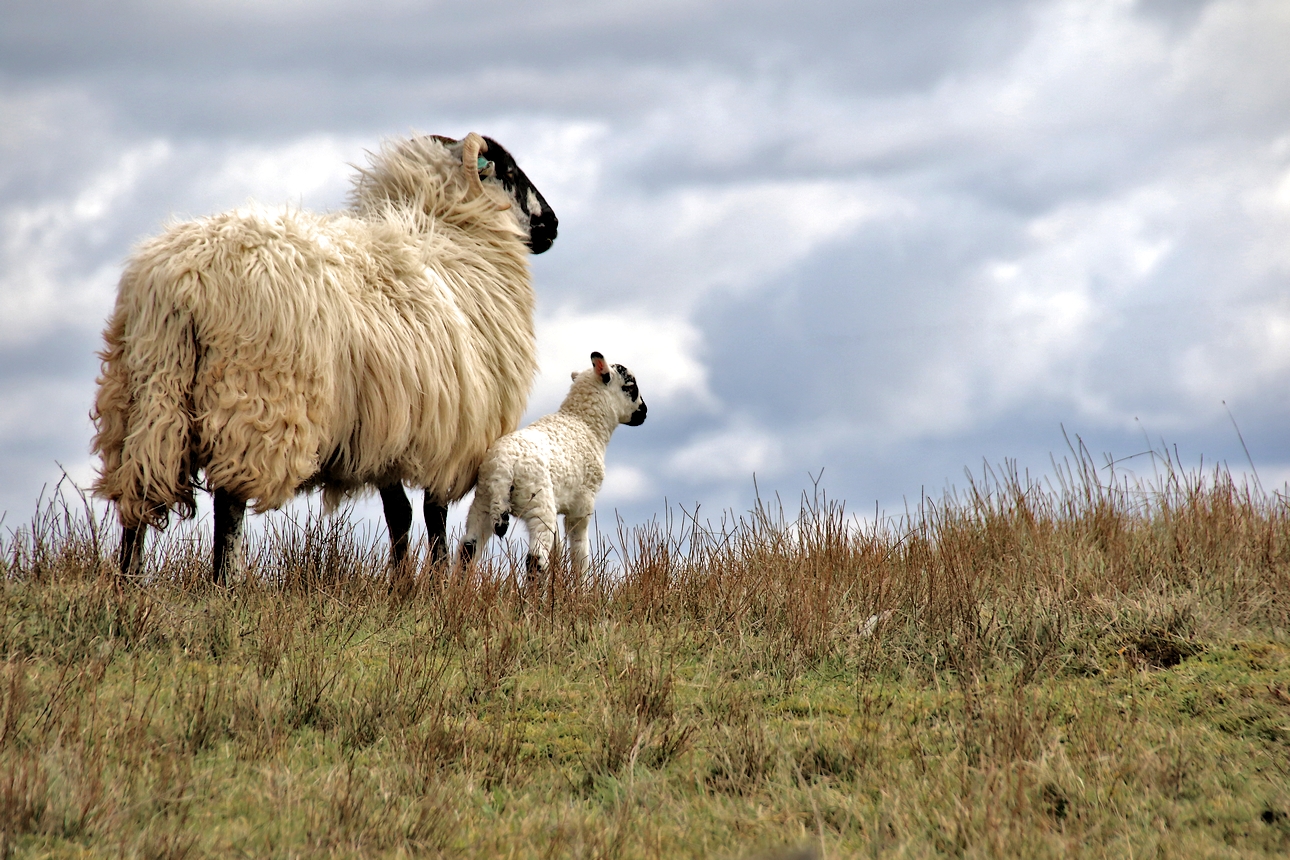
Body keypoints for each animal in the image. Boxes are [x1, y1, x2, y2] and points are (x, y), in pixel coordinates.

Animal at [88, 131, 557, 582]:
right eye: (508, 171)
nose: (552, 224)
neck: (452, 235)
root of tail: (181, 279)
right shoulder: (446, 434)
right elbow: (432, 514)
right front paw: (439, 582)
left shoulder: (385, 432)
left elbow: (399, 515)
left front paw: (401, 584)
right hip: (255, 396)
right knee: (230, 501)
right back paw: (225, 581)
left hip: (146, 390)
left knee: (139, 490)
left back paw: (127, 580)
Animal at [461, 350, 650, 585]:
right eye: (630, 386)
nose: (644, 412)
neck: (585, 423)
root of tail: (503, 466)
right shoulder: (583, 504)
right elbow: (579, 552)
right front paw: (582, 587)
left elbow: (558, 550)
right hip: (538, 502)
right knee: (535, 559)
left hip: (484, 501)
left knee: (468, 550)